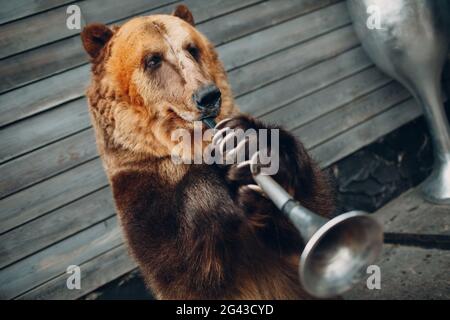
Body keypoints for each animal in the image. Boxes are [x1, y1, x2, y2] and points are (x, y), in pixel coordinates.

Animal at [80, 5, 334, 300]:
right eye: (153, 59)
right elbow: (181, 264)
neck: (192, 147)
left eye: (192, 48)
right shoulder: (140, 187)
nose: (208, 96)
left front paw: (258, 148)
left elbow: (310, 213)